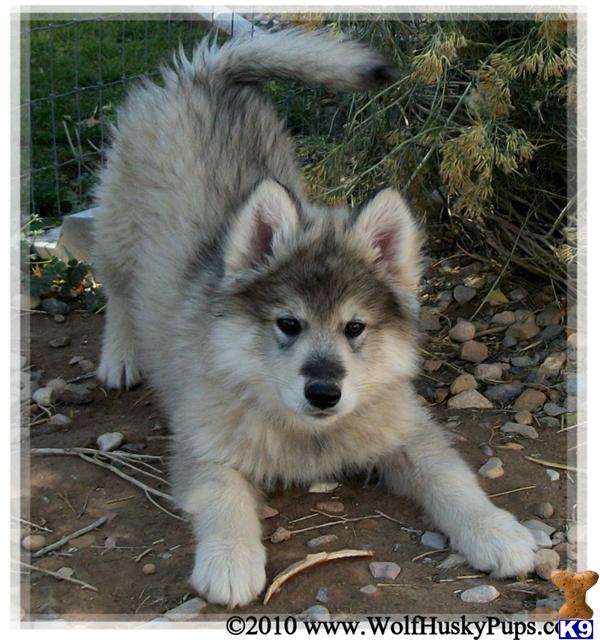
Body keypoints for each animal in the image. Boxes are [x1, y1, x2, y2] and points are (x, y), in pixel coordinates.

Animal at [96, 30, 536, 608]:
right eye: (289, 324)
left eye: (355, 328)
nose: (325, 393)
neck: (308, 433)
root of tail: (204, 75)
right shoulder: (203, 447)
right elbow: (222, 495)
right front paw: (230, 561)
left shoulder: (410, 430)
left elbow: (454, 479)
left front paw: (496, 532)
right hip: (120, 231)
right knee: (117, 290)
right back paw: (120, 357)